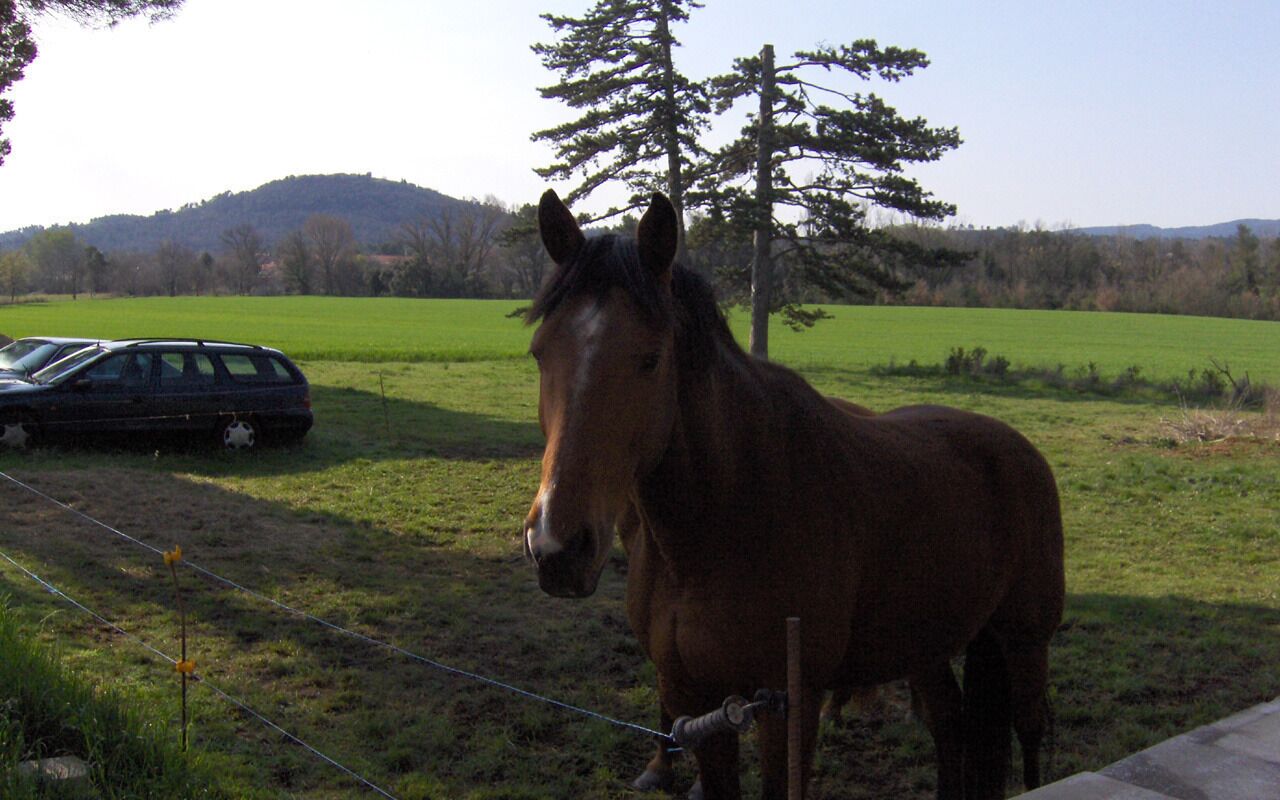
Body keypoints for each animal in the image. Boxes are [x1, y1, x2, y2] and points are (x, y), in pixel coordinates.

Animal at [522, 190, 1064, 799]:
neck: (723, 523)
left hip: (1023, 641)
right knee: (950, 725)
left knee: (1028, 737)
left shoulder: (786, 705)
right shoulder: (695, 701)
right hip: (926, 641)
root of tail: (1019, 448)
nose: (558, 548)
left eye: (650, 358)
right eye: (540, 353)